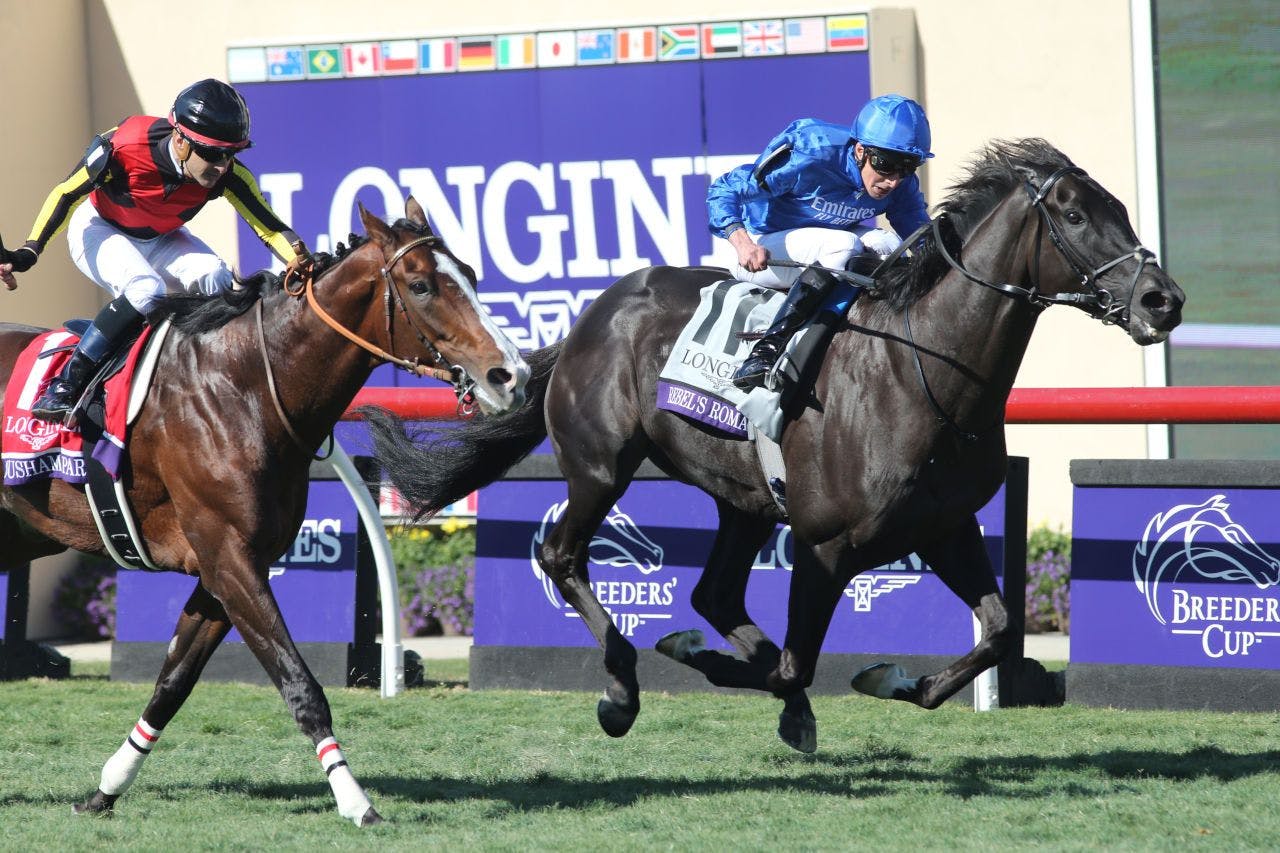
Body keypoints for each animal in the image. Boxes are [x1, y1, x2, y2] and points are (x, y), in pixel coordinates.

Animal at [0, 195, 529, 819]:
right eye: (421, 285)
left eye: (469, 274)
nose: (511, 375)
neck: (244, 385)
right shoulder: (231, 560)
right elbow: (301, 686)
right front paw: (356, 802)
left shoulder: (222, 570)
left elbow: (171, 684)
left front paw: (105, 791)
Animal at [366, 139, 1182, 753]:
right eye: (1074, 214)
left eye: (1119, 208)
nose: (1162, 299)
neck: (924, 371)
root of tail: (591, 315)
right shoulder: (826, 546)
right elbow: (796, 665)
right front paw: (701, 660)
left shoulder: (945, 526)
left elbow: (1002, 633)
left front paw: (896, 680)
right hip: (600, 468)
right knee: (563, 555)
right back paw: (623, 688)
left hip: (745, 498)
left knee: (715, 592)